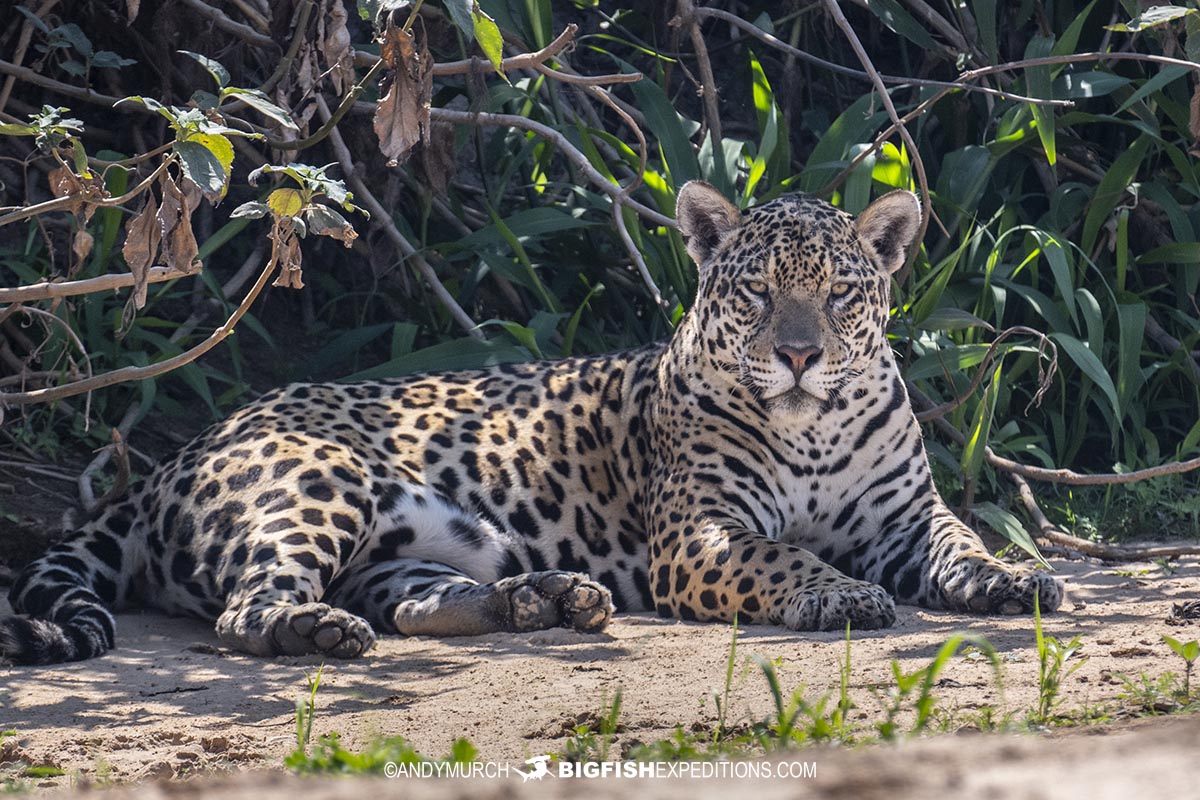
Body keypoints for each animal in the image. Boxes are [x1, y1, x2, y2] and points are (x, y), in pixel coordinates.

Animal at [0, 181, 1063, 664]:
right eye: (758, 294)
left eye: (840, 295)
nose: (800, 356)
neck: (813, 427)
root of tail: (180, 455)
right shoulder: (700, 535)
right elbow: (781, 557)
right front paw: (840, 596)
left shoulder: (906, 519)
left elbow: (962, 545)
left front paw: (1016, 579)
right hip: (316, 484)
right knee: (247, 609)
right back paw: (318, 631)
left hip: (419, 542)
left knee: (414, 598)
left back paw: (541, 601)